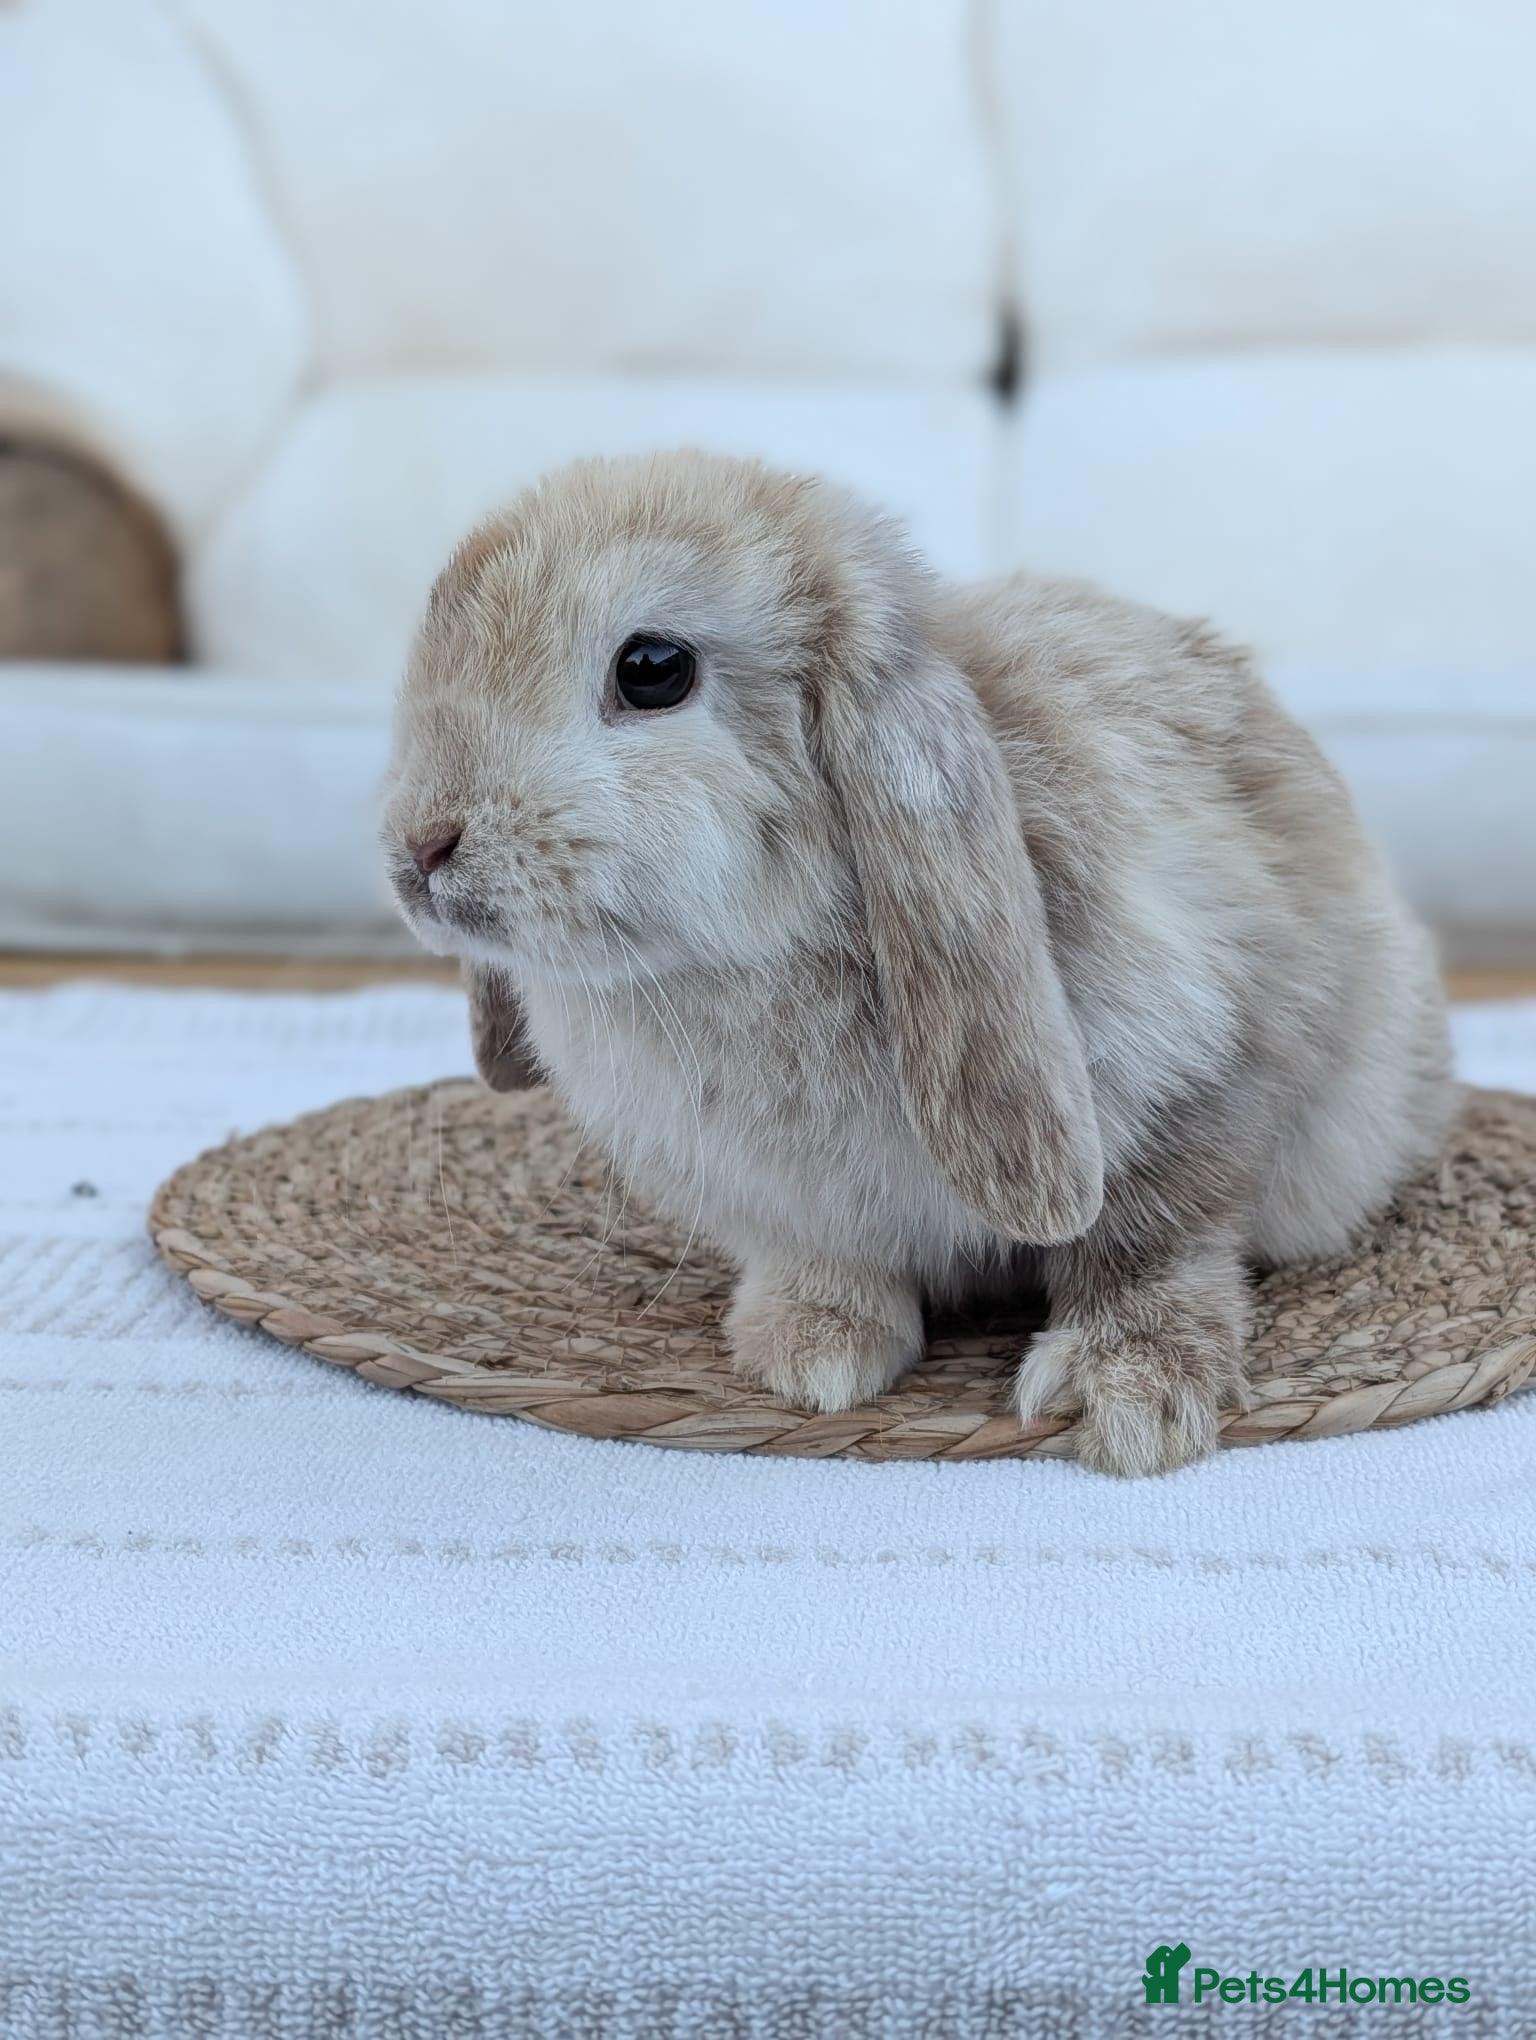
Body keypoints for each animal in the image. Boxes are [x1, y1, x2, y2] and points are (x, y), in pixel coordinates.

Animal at [380, 450, 1454, 1476]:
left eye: (652, 669)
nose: (421, 846)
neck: (745, 960)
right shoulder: (793, 1206)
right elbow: (830, 1266)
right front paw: (811, 1356)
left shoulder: (1206, 1072)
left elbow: (1153, 1242)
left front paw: (1131, 1396)